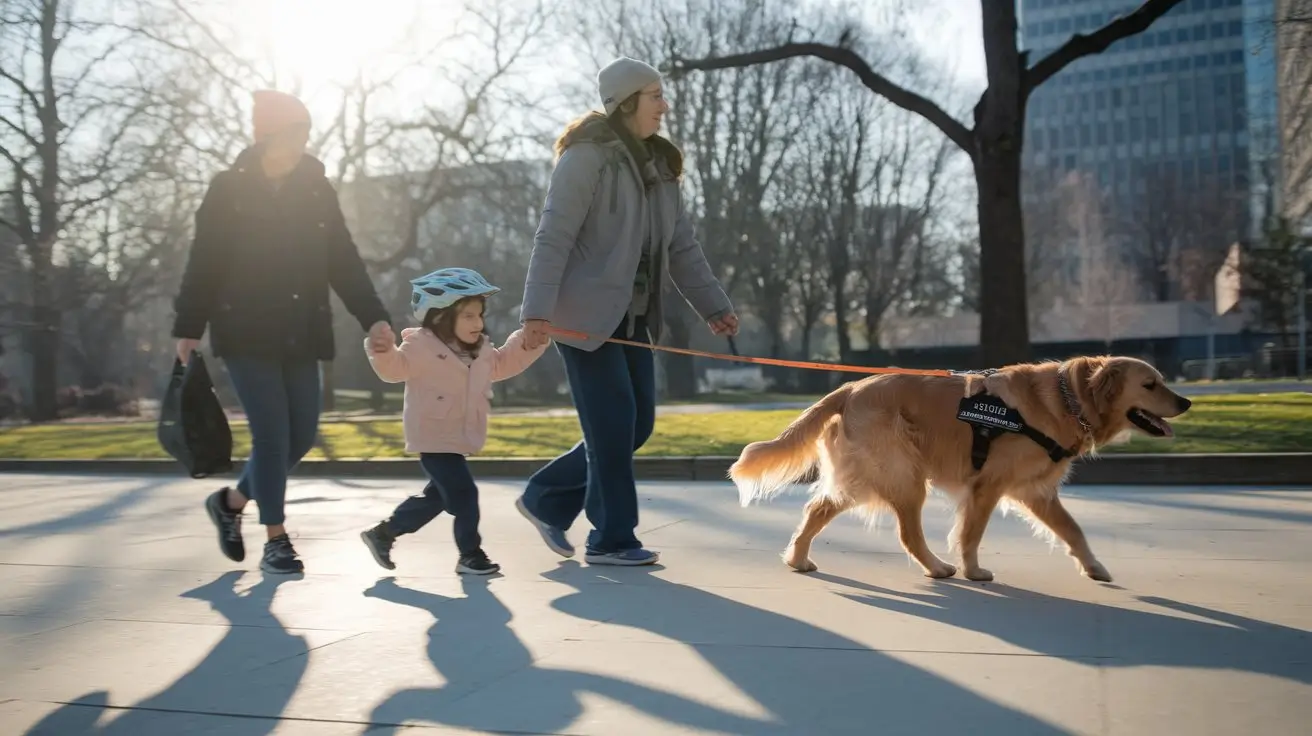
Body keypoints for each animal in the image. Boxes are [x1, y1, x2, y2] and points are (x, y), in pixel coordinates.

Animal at [734, 356, 1196, 579]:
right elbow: (972, 534)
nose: (1187, 401)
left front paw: (1094, 567)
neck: (1069, 399)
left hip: (868, 476)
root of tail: (849, 387)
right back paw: (938, 568)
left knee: (817, 509)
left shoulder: (1036, 491)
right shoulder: (988, 485)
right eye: (1150, 384)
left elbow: (1073, 530)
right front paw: (974, 571)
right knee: (907, 534)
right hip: (904, 475)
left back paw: (797, 559)